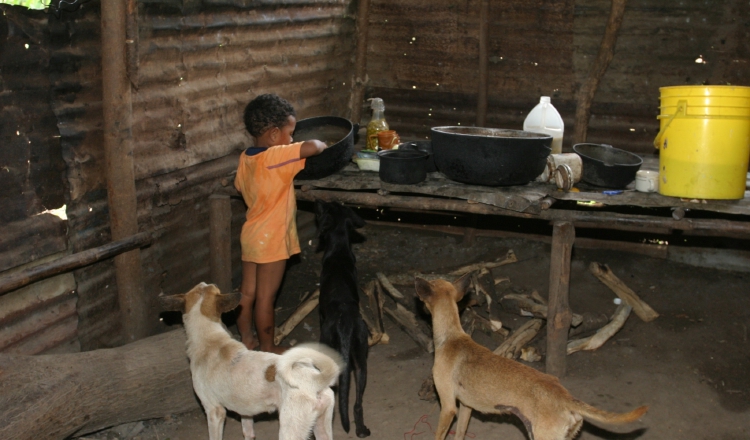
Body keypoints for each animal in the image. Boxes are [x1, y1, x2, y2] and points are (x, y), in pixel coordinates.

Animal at [163, 282, 346, 440]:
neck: (210, 339)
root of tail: (314, 380)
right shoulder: (245, 412)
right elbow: (248, 432)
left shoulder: (214, 411)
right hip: (322, 427)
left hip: (290, 430)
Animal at [312, 201, 372, 438]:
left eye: (326, 208)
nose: (318, 202)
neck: (339, 249)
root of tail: (346, 323)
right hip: (362, 362)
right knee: (357, 404)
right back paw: (361, 430)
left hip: (327, 344)